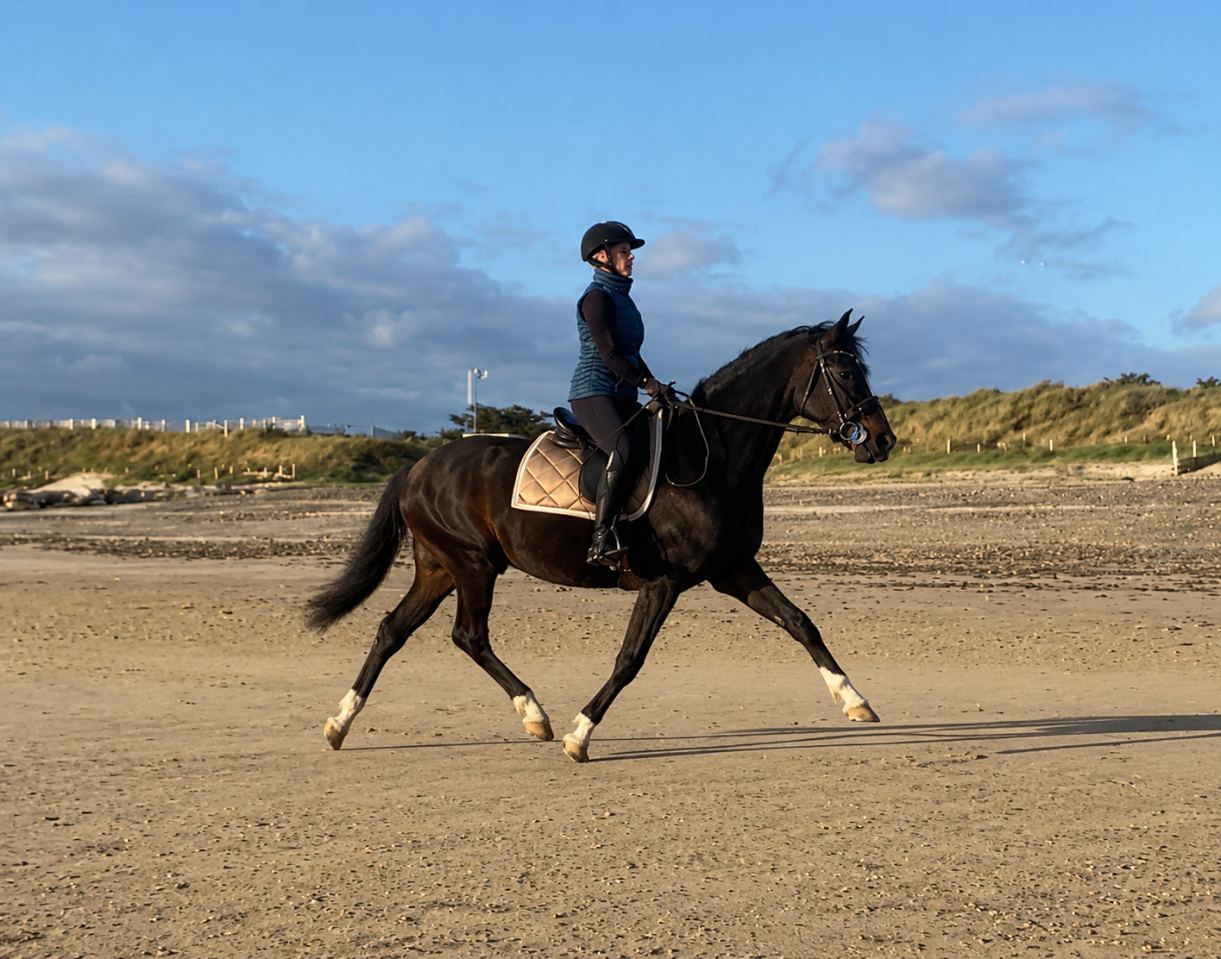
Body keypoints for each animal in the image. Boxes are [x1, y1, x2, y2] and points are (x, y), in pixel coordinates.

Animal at [307, 310, 896, 762]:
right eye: (845, 371)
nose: (883, 440)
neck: (712, 457)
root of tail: (418, 466)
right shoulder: (665, 582)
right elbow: (629, 659)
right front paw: (580, 734)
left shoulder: (733, 570)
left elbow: (801, 623)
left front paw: (854, 700)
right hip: (472, 566)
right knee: (469, 636)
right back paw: (535, 714)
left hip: (439, 569)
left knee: (392, 630)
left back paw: (340, 723)